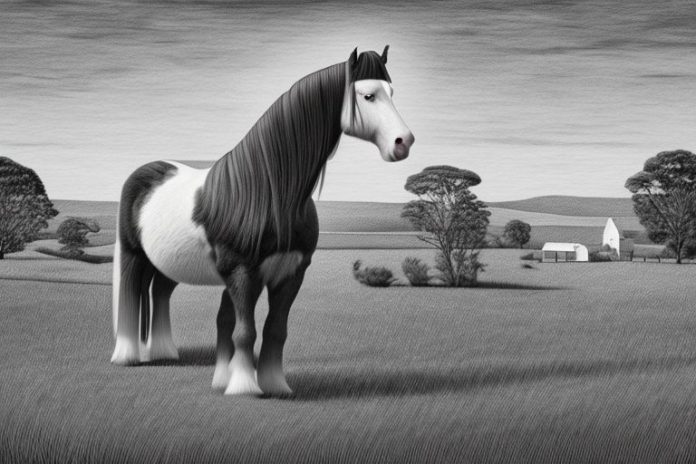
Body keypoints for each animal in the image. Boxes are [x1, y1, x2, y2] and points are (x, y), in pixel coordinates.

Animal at [110, 46, 415, 396]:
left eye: (392, 92)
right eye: (368, 96)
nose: (403, 142)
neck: (268, 193)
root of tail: (145, 172)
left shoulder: (291, 273)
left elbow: (274, 330)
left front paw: (275, 384)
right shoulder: (243, 273)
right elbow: (245, 331)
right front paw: (243, 386)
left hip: (167, 263)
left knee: (160, 292)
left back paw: (164, 352)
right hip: (134, 255)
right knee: (130, 297)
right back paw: (127, 357)